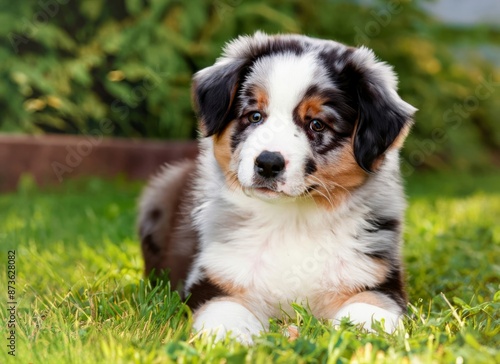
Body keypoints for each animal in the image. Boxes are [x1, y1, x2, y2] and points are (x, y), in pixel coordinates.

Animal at [139, 32, 416, 344]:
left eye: (317, 124)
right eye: (255, 116)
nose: (268, 163)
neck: (291, 221)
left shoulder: (375, 277)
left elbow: (369, 310)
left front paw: (363, 335)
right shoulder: (214, 277)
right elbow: (227, 312)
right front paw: (233, 340)